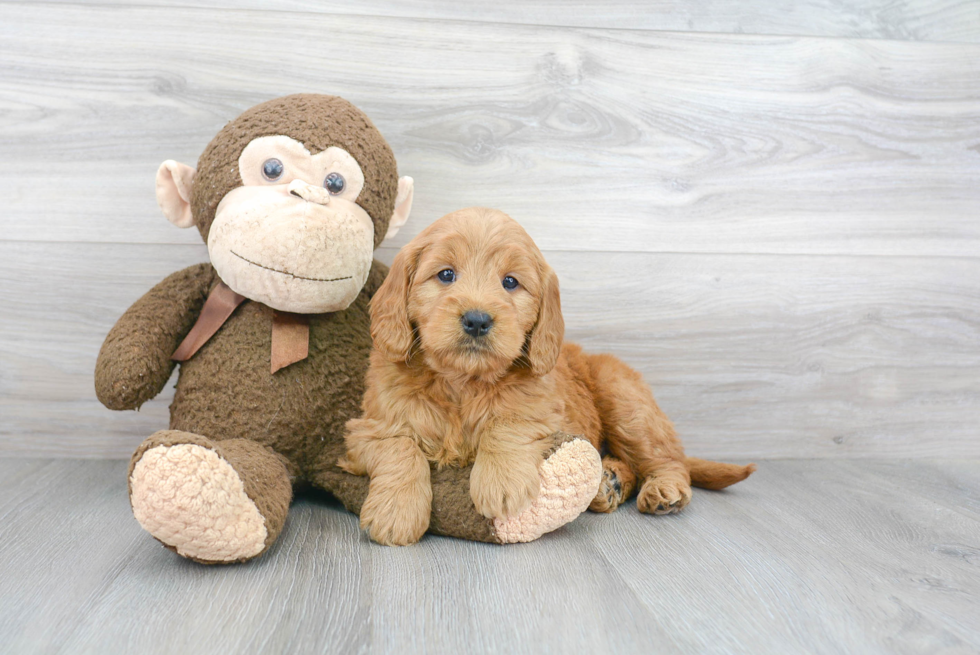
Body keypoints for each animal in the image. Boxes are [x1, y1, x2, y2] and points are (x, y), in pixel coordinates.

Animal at [344, 208, 756, 544]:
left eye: (510, 282)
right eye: (445, 274)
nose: (477, 320)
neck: (463, 382)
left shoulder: (543, 410)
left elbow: (506, 422)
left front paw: (501, 482)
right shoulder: (367, 429)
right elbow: (400, 447)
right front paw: (396, 512)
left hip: (626, 402)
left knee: (666, 459)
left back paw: (663, 490)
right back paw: (609, 482)